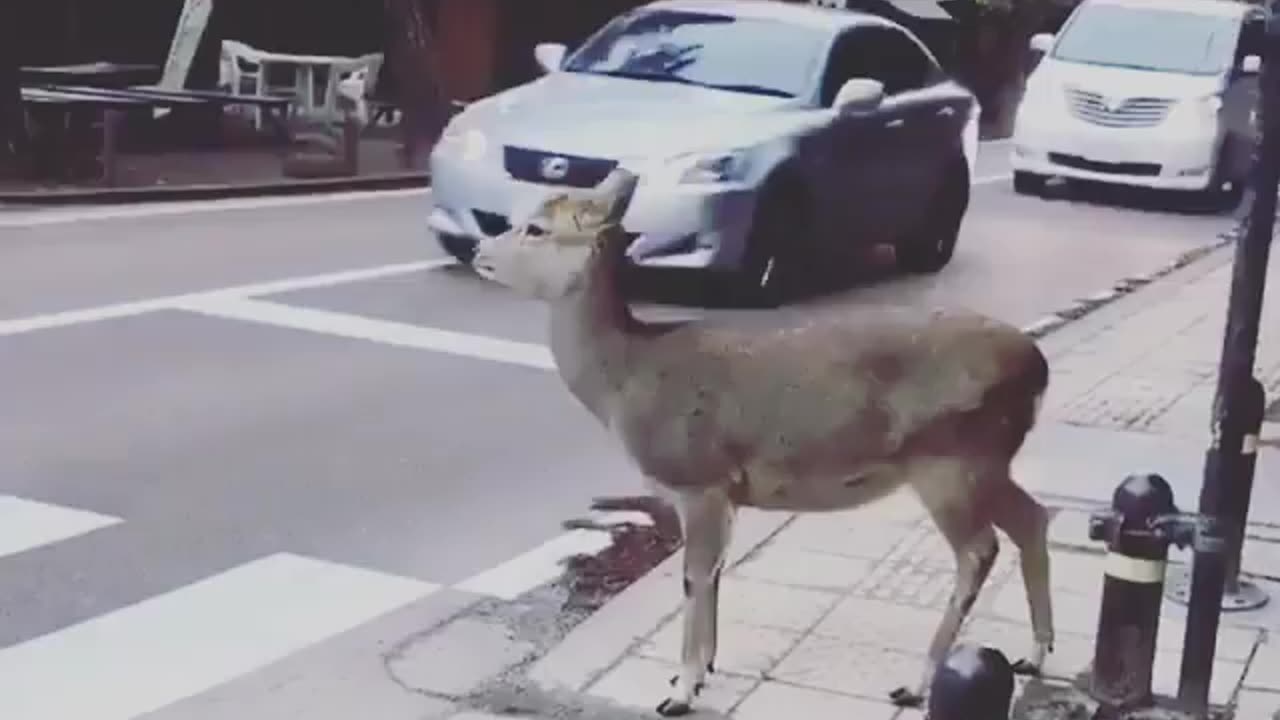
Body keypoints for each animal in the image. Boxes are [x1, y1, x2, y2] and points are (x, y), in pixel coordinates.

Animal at [476, 166, 1054, 712]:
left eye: (536, 227)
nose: (480, 251)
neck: (625, 382)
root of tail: (1038, 367)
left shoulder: (697, 476)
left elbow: (693, 576)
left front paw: (680, 691)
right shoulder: (727, 491)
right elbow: (714, 573)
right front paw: (702, 669)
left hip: (949, 456)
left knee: (979, 549)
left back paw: (918, 683)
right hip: (988, 457)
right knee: (1033, 516)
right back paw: (1035, 653)